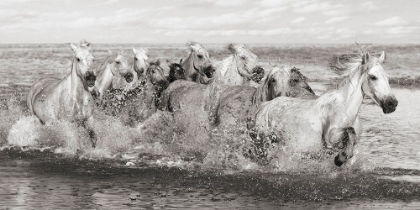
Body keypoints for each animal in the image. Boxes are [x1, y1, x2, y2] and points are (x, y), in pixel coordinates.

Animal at [251, 49, 398, 167]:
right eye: (373, 77)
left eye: (387, 77)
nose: (392, 103)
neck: (346, 111)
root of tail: (264, 106)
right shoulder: (330, 137)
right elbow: (349, 131)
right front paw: (339, 159)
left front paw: (341, 159)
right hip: (264, 143)